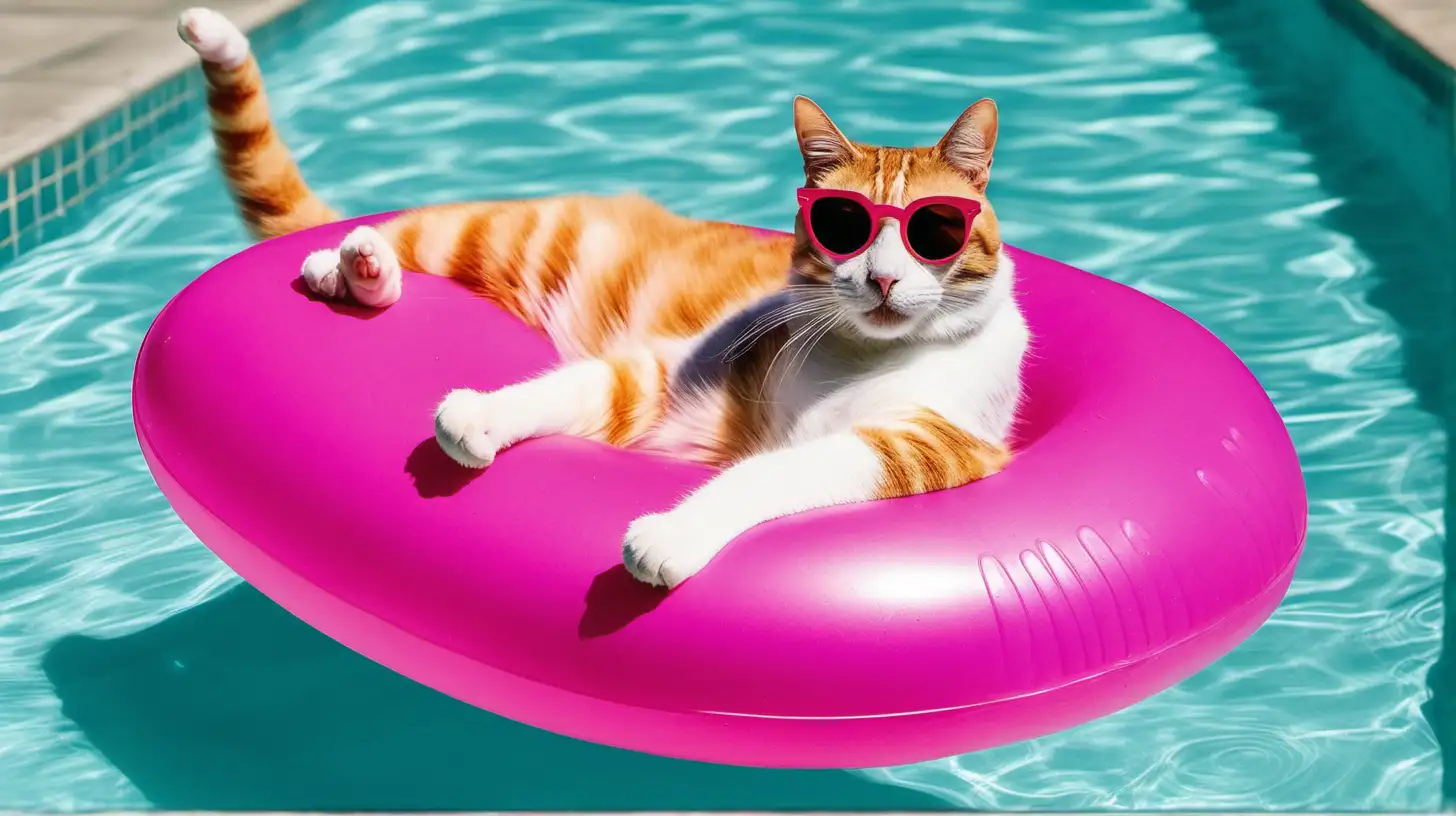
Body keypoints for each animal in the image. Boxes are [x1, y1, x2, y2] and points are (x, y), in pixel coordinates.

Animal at [176, 9, 1030, 588]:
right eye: (844, 227)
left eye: (932, 232)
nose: (881, 279)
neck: (860, 356)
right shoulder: (681, 374)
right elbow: (577, 385)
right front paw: (480, 417)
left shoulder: (919, 446)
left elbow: (768, 474)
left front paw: (671, 538)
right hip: (501, 236)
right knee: (407, 229)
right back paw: (348, 263)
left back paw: (360, 272)